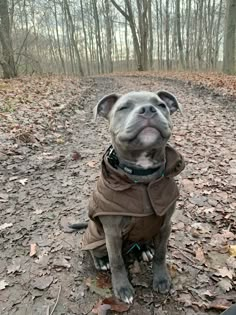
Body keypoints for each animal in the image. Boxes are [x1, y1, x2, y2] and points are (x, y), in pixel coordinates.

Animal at [70, 90, 184, 304]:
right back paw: (101, 261)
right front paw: (122, 288)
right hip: (98, 236)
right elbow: (117, 262)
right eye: (123, 107)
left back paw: (145, 249)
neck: (143, 178)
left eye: (162, 105)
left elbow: (161, 254)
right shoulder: (112, 232)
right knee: (94, 250)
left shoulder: (165, 225)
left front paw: (161, 278)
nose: (148, 109)